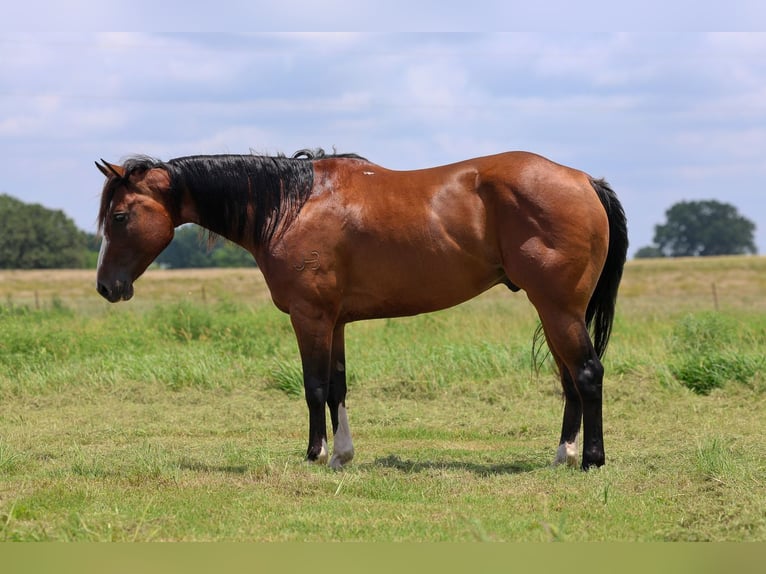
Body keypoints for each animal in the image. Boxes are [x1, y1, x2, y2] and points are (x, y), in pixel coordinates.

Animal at [95, 149, 628, 471]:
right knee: (569, 378)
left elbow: (313, 387)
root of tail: (584, 180)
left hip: (558, 308)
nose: (106, 287)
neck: (293, 205)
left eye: (119, 216)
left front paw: (314, 454)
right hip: (554, 311)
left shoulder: (309, 316)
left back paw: (592, 459)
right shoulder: (335, 322)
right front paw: (342, 455)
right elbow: (337, 387)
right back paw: (564, 454)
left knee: (587, 373)